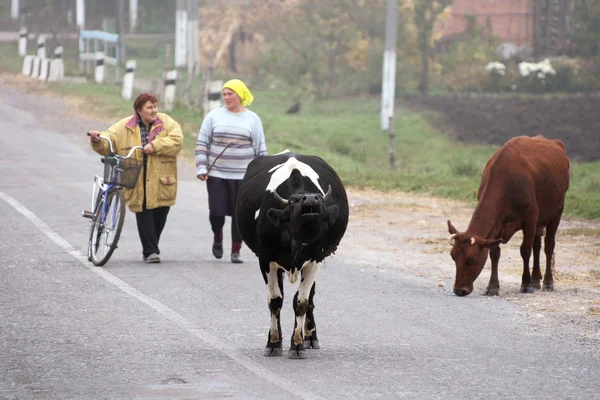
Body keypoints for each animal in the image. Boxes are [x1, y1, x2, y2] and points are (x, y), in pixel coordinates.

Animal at [234, 152, 346, 358]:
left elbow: (301, 302)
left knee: (310, 298)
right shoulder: (266, 259)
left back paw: (311, 337)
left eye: (320, 199)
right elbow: (275, 301)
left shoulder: (314, 260)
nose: (310, 198)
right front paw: (273, 343)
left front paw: (298, 344)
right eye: (294, 201)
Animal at [448, 136, 568, 296]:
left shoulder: (530, 218)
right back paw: (536, 279)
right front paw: (492, 285)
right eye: (453, 256)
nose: (459, 290)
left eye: (472, 259)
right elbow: (494, 252)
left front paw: (526, 283)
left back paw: (548, 282)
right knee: (537, 245)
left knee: (548, 246)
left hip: (556, 212)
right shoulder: (497, 224)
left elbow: (525, 250)